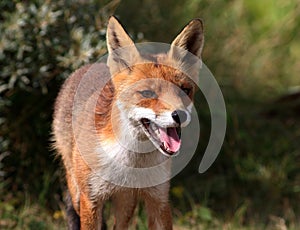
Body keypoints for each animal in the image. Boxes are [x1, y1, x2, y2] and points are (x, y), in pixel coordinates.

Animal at [52, 16, 205, 230]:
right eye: (147, 93)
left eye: (184, 90)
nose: (180, 115)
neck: (132, 163)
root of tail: (87, 66)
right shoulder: (91, 199)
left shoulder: (158, 198)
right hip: (77, 192)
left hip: (126, 202)